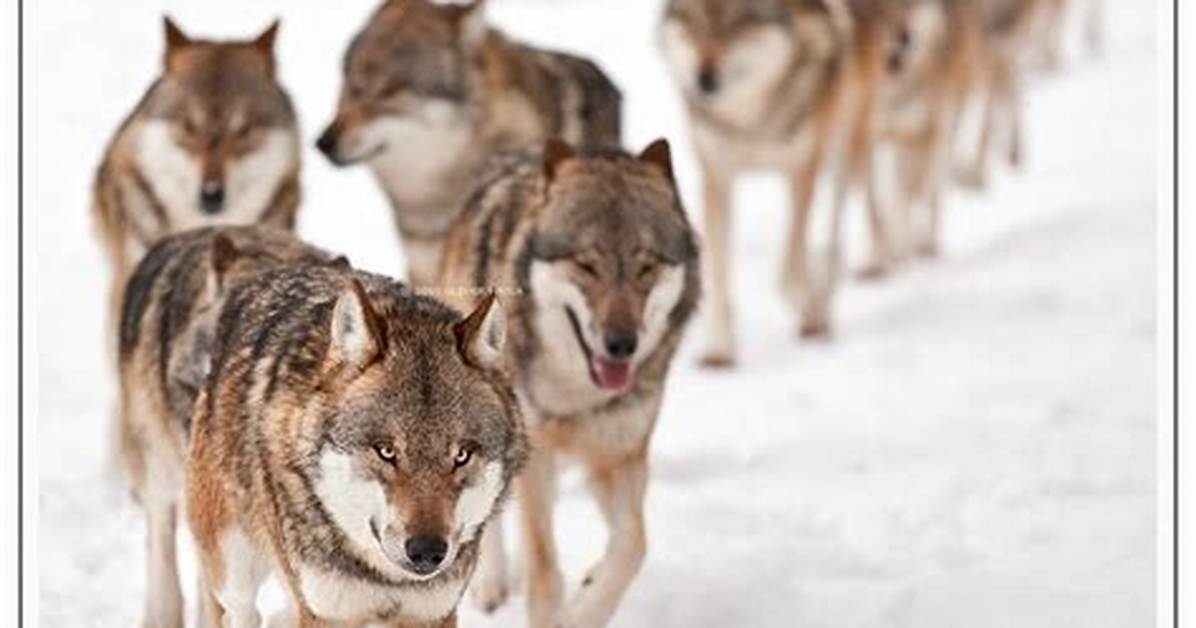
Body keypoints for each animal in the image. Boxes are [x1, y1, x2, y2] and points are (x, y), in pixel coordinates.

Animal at [184, 263, 527, 628]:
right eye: (386, 451)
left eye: (461, 455)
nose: (427, 551)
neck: (385, 579)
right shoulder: (323, 612)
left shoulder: (436, 612)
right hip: (234, 576)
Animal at [437, 138, 700, 628]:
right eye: (587, 265)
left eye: (646, 267)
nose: (622, 345)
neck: (580, 396)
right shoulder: (536, 454)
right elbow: (545, 568)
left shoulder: (620, 455)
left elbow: (633, 546)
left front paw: (586, 606)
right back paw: (492, 584)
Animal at [659, 0, 887, 366]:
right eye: (695, 23)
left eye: (737, 24)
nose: (704, 80)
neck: (752, 121)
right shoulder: (717, 177)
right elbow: (719, 273)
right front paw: (719, 349)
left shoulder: (802, 170)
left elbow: (788, 269)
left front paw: (812, 313)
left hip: (845, 142)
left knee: (841, 218)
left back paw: (833, 288)